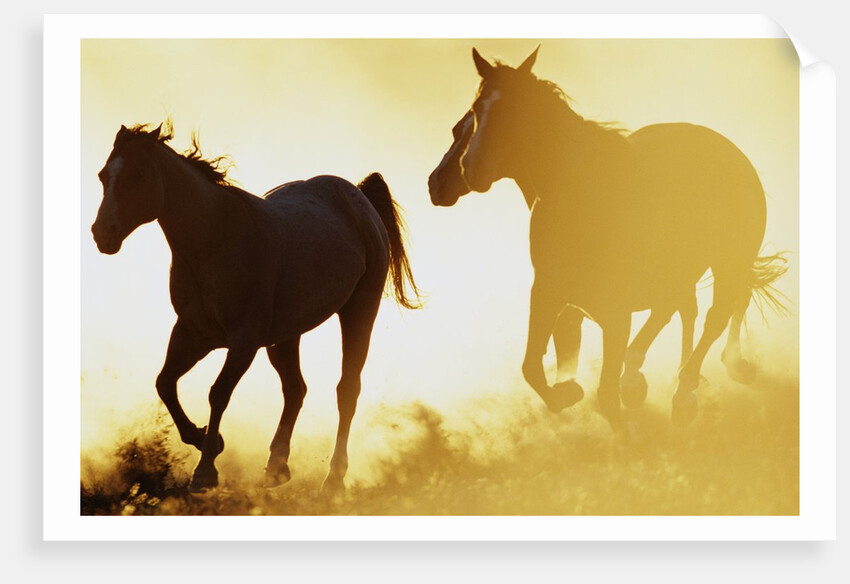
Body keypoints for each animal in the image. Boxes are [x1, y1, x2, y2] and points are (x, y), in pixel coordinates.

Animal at [91, 122, 422, 492]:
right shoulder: (192, 334)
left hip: (358, 312)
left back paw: (333, 479)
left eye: (139, 175)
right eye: (104, 175)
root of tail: (358, 197)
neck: (216, 239)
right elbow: (165, 384)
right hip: (285, 336)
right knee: (295, 389)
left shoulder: (243, 342)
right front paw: (204, 440)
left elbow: (218, 393)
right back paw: (277, 467)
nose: (102, 233)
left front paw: (205, 470)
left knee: (346, 390)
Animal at [428, 109, 702, 413]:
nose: (436, 184)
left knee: (683, 311)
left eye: (469, 134)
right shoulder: (565, 308)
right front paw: (569, 390)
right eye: (457, 131)